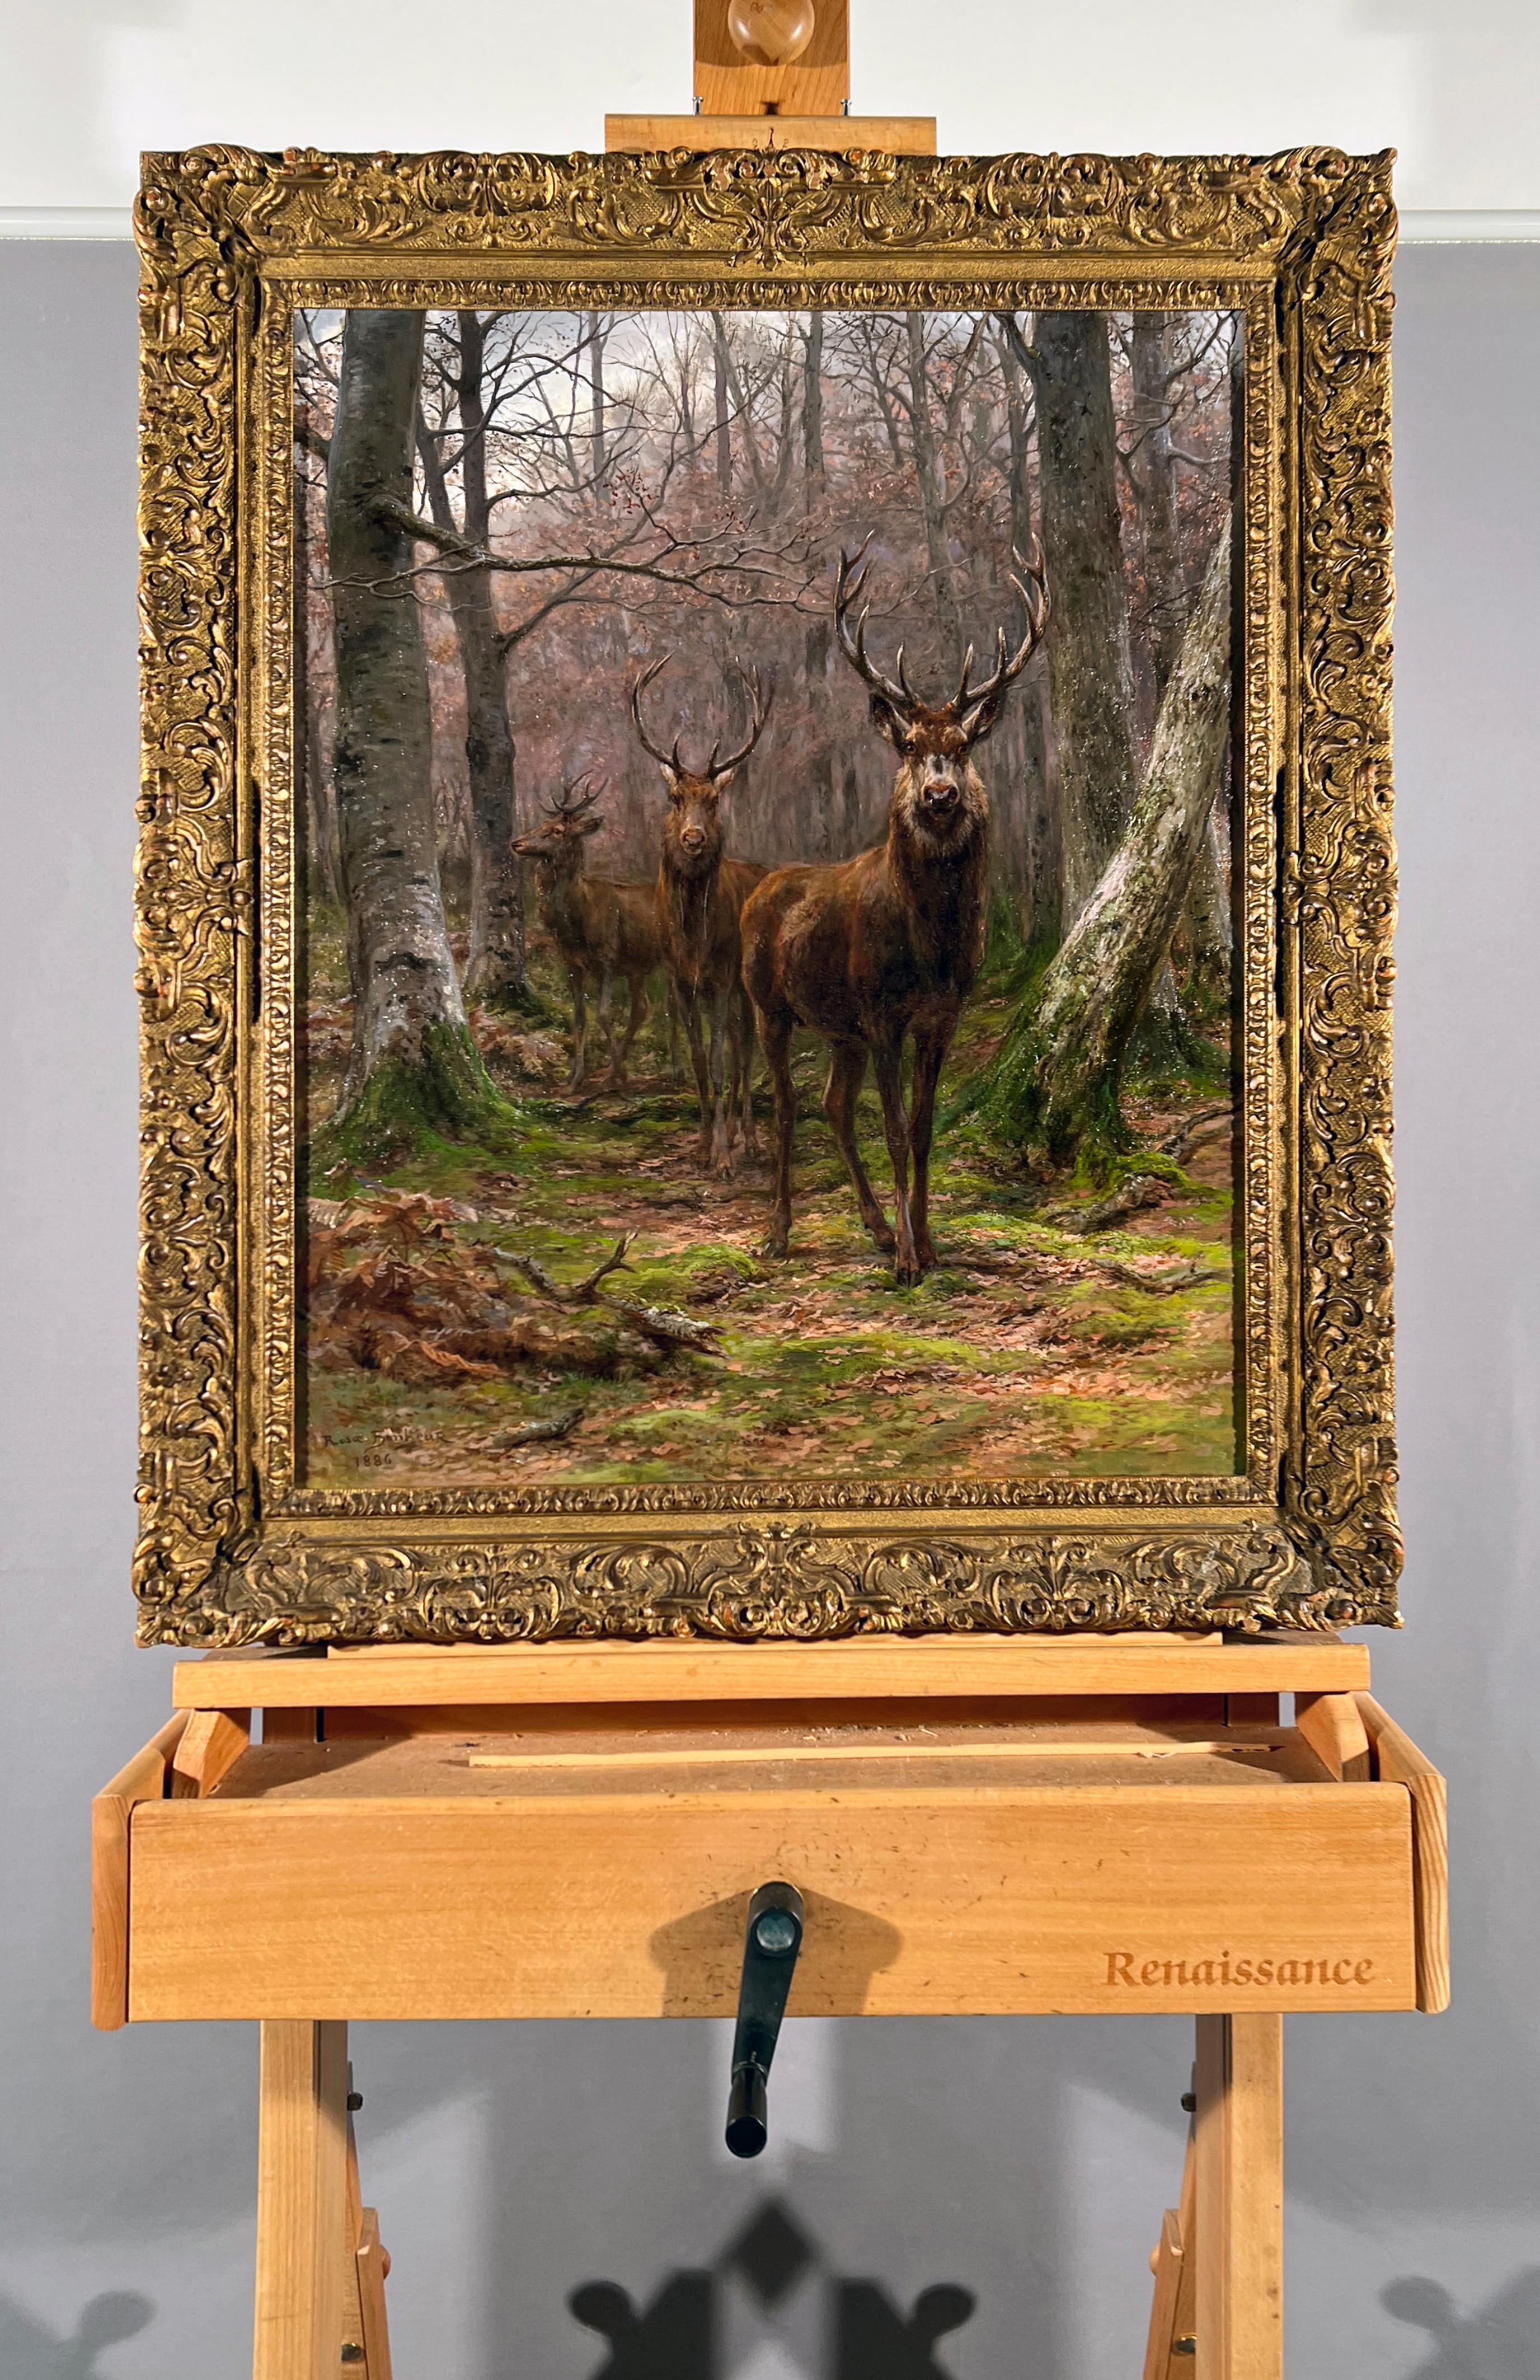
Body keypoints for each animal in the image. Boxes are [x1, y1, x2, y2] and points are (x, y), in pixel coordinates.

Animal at [511, 776, 675, 1090]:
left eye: (557, 831)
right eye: (542, 823)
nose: (517, 842)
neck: (577, 922)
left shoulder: (608, 957)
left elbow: (603, 1013)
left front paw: (618, 1077)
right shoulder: (572, 964)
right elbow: (579, 1017)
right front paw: (576, 1078)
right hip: (639, 968)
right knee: (642, 1008)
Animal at [628, 657, 771, 1175]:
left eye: (713, 801)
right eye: (675, 800)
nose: (693, 838)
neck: (692, 940)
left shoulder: (723, 978)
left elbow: (719, 1059)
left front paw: (724, 1156)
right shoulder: (680, 981)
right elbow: (697, 1058)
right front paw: (703, 1143)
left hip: (750, 983)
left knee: (746, 1049)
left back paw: (750, 1139)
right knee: (737, 1046)